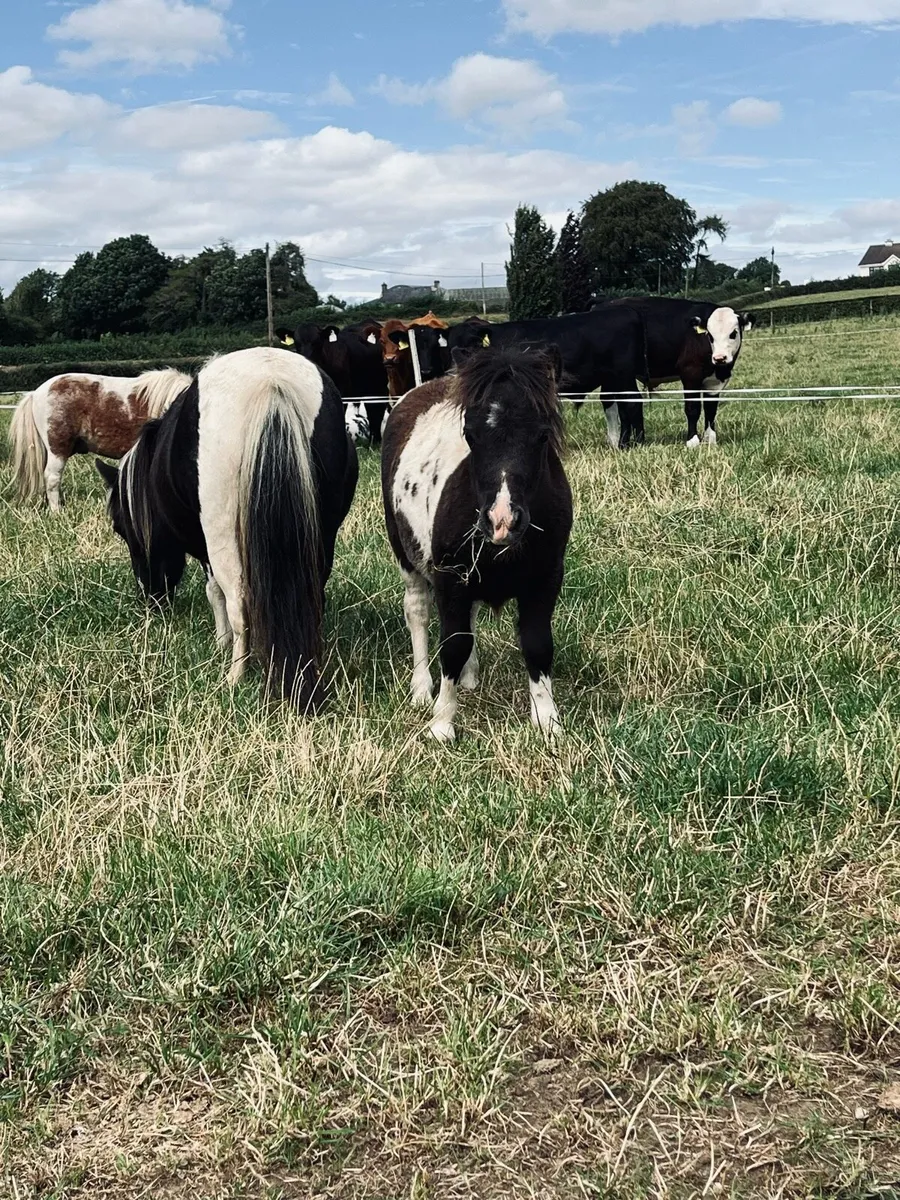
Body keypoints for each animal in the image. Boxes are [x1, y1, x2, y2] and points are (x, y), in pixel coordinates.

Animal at [95, 347, 358, 712]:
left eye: (121, 528)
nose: (151, 599)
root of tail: (271, 381)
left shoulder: (207, 548)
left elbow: (214, 591)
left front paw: (221, 642)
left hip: (222, 533)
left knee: (238, 601)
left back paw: (235, 675)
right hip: (320, 534)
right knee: (312, 595)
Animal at [381, 343, 572, 742]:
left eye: (542, 435)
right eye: (469, 434)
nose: (502, 521)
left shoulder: (546, 578)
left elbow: (537, 642)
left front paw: (547, 720)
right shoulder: (450, 576)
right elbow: (453, 644)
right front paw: (441, 723)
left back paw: (469, 679)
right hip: (406, 555)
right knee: (418, 611)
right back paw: (421, 688)